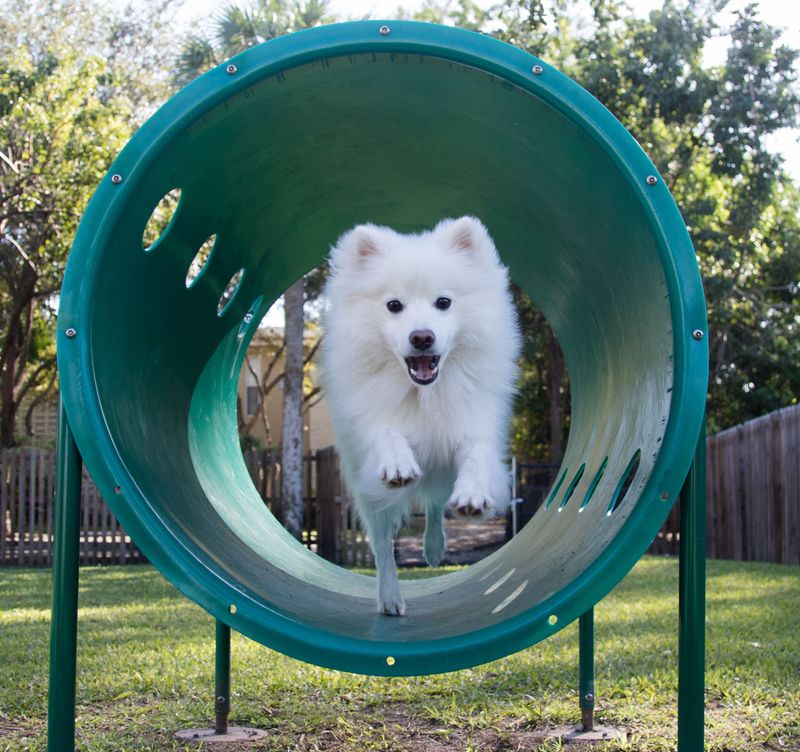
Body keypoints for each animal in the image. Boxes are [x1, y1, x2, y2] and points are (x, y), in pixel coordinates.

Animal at [322, 214, 520, 612]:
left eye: (443, 302)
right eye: (394, 305)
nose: (422, 337)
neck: (424, 393)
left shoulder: (472, 425)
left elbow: (476, 456)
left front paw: (473, 496)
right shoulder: (372, 423)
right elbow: (387, 431)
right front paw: (398, 464)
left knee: (434, 506)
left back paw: (433, 549)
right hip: (371, 501)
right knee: (383, 546)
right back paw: (390, 599)